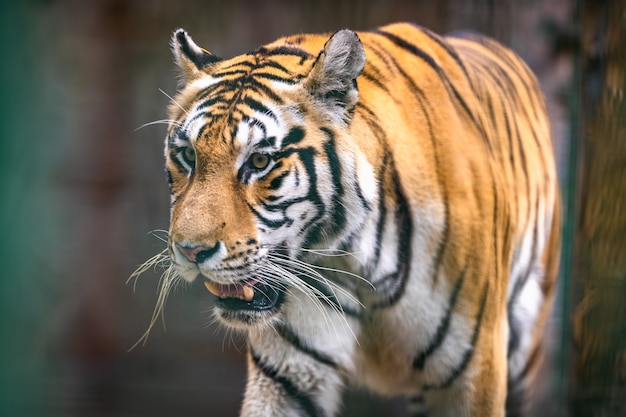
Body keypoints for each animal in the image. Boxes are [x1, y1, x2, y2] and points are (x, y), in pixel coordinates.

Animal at [140, 22, 560, 416]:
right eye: (188, 156)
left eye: (259, 161)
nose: (190, 252)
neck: (355, 260)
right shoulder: (287, 373)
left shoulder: (472, 372)